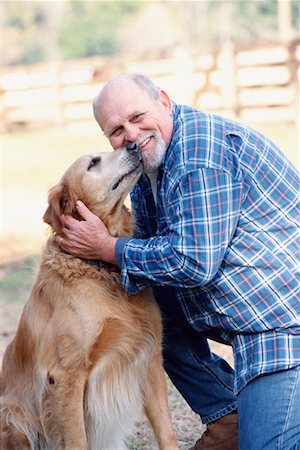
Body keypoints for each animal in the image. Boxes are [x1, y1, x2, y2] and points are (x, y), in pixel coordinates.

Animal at [0, 145, 178, 450]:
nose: (133, 146)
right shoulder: (67, 375)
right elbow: (77, 440)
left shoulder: (151, 357)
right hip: (13, 416)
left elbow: (166, 431)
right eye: (93, 163)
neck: (100, 268)